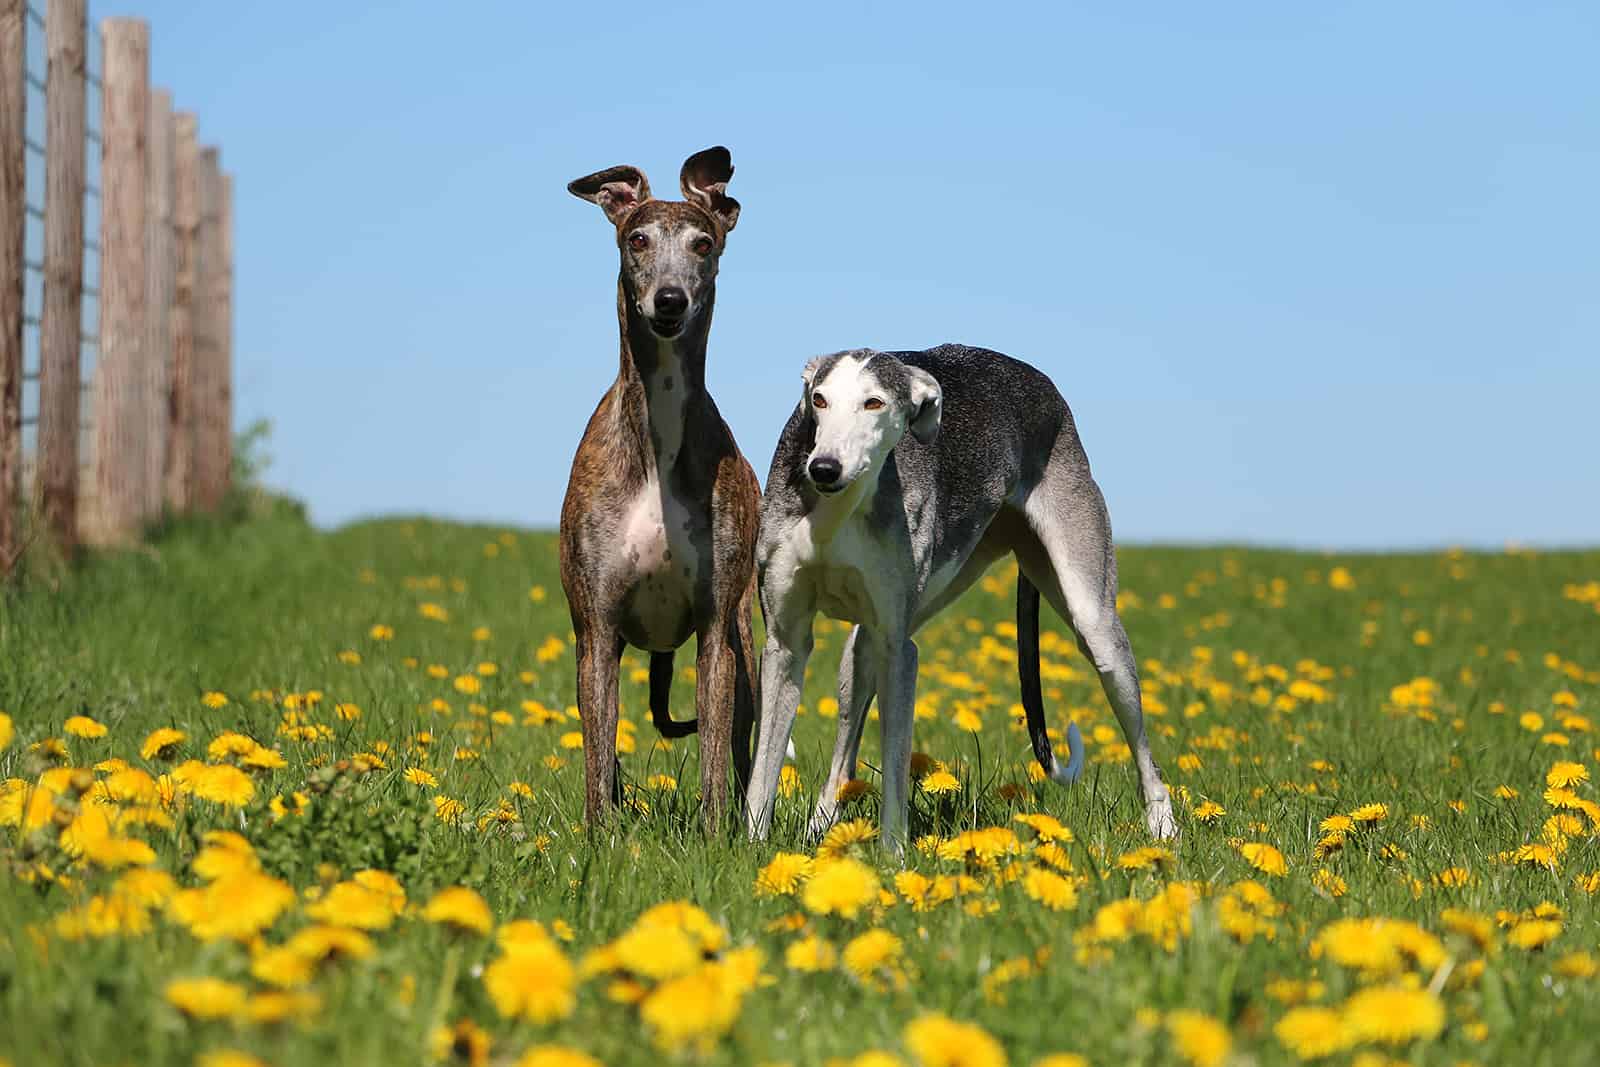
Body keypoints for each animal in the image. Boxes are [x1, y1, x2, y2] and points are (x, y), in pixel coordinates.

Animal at [560, 147, 758, 831]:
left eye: (704, 243)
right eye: (637, 239)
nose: (669, 302)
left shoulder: (716, 630)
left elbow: (716, 764)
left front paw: (716, 836)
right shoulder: (595, 632)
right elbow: (597, 762)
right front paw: (600, 838)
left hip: (749, 648)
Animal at [745, 347, 1177, 857]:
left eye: (874, 403)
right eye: (819, 399)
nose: (824, 468)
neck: (840, 507)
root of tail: (1041, 383)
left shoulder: (899, 652)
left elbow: (895, 765)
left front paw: (892, 857)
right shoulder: (784, 642)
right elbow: (763, 769)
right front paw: (751, 847)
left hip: (1095, 621)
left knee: (1144, 751)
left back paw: (1163, 826)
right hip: (868, 643)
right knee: (844, 744)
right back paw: (824, 824)